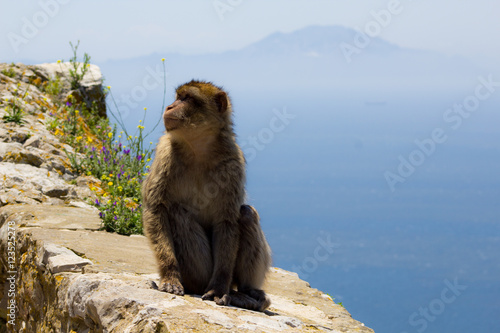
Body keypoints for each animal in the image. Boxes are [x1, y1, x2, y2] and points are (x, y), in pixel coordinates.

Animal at [141, 79, 274, 310]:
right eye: (178, 97)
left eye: (186, 98)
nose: (169, 107)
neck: (198, 149)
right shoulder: (165, 154)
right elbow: (156, 209)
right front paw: (170, 276)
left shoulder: (233, 163)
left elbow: (227, 221)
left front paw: (218, 288)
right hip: (196, 274)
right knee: (177, 212)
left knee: (246, 214)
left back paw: (246, 293)